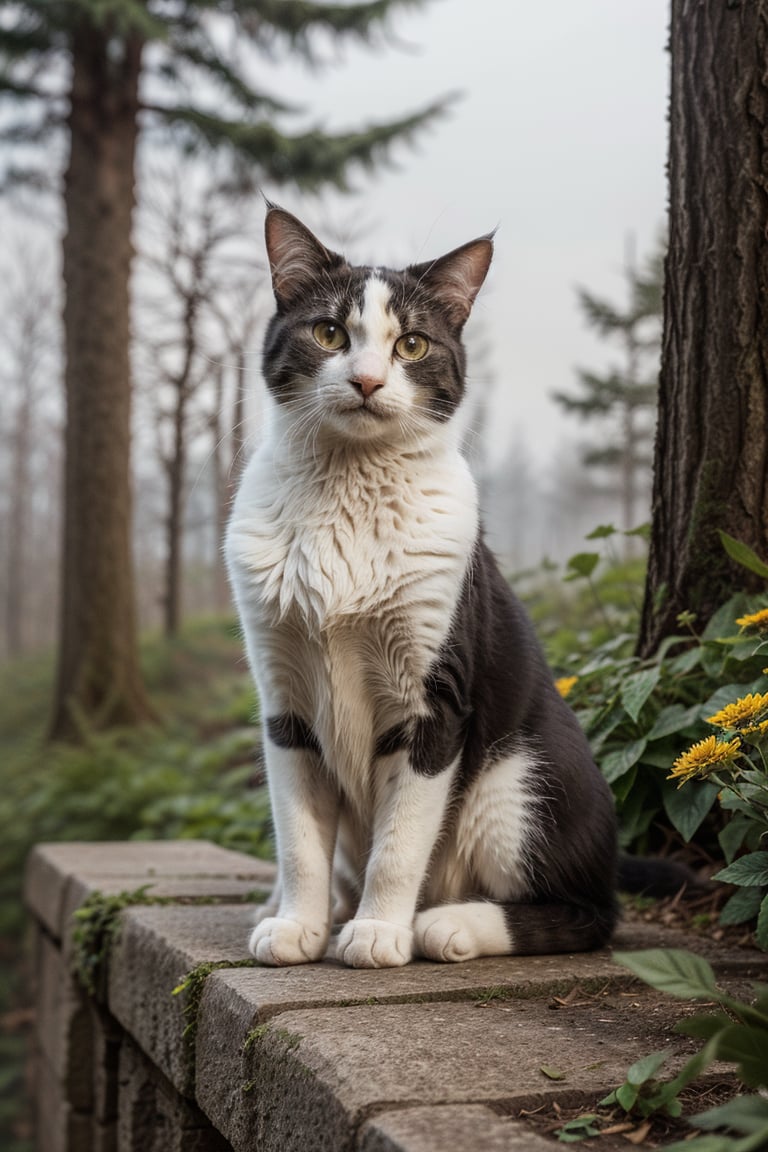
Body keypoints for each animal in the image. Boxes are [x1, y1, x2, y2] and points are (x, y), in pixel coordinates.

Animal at [225, 202, 621, 967]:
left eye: (411, 345)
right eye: (329, 333)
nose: (368, 380)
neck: (347, 493)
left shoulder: (435, 698)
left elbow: (400, 839)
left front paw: (380, 931)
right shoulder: (283, 698)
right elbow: (299, 839)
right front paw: (297, 924)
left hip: (519, 776)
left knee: (593, 912)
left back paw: (448, 924)